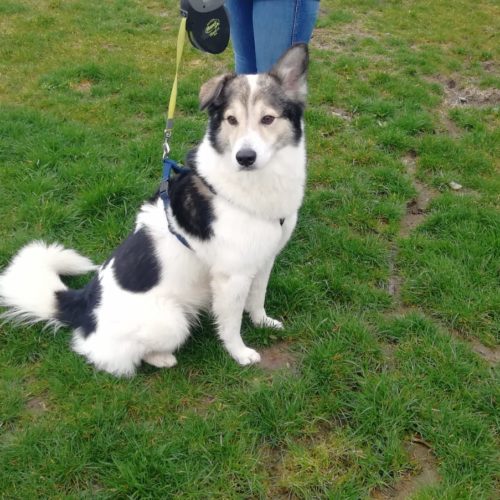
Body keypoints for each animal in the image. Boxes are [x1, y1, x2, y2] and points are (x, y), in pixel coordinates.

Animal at [0, 44, 309, 377]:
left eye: (268, 118)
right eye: (231, 120)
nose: (245, 157)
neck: (251, 186)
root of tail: (84, 306)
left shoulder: (263, 259)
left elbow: (257, 298)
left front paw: (262, 321)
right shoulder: (231, 277)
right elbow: (230, 324)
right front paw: (239, 353)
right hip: (172, 320)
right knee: (106, 355)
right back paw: (161, 358)